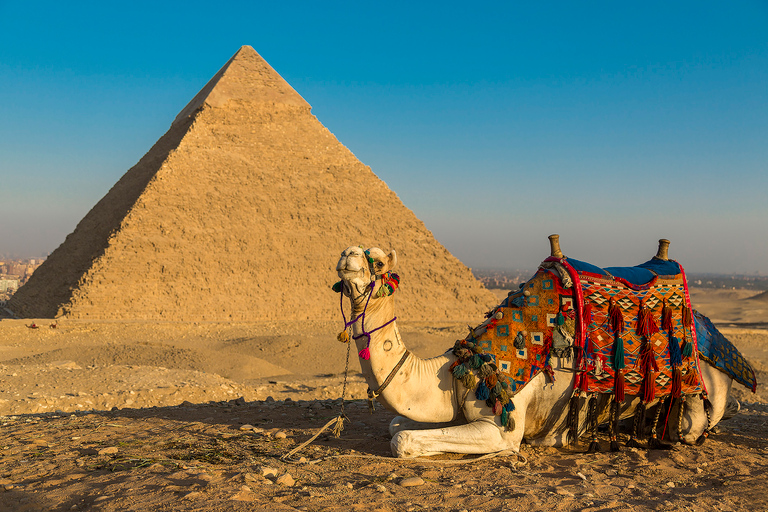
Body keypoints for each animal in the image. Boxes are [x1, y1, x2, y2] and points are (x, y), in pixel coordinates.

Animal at [336, 238, 756, 458]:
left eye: (376, 261)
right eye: (353, 251)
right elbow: (396, 424)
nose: (347, 254)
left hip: (704, 392)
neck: (460, 369)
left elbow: (402, 439)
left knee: (691, 426)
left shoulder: (502, 425)